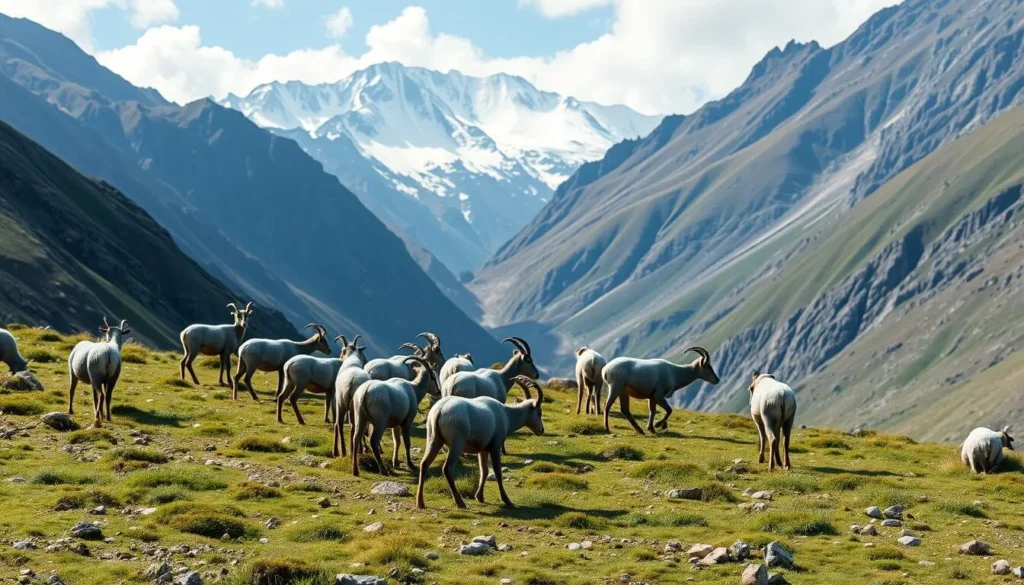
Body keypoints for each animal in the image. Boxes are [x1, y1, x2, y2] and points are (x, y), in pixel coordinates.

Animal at [416, 377, 544, 509]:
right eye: (539, 411)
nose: (541, 430)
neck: (505, 413)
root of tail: (440, 410)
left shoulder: (483, 450)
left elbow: (485, 471)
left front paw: (480, 497)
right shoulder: (495, 446)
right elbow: (497, 471)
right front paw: (507, 500)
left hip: (434, 440)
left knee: (424, 464)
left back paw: (420, 502)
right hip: (457, 445)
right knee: (447, 468)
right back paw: (460, 502)